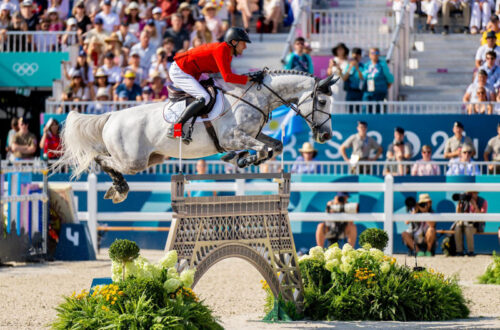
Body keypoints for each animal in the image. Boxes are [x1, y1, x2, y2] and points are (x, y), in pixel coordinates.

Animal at [55, 70, 336, 204]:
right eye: (322, 101)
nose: (325, 135)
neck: (258, 96)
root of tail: (112, 115)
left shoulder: (253, 134)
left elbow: (274, 146)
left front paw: (243, 159)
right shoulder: (232, 136)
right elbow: (260, 149)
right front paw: (241, 158)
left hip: (152, 159)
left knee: (104, 159)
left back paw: (116, 188)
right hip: (132, 160)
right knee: (101, 159)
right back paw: (120, 187)